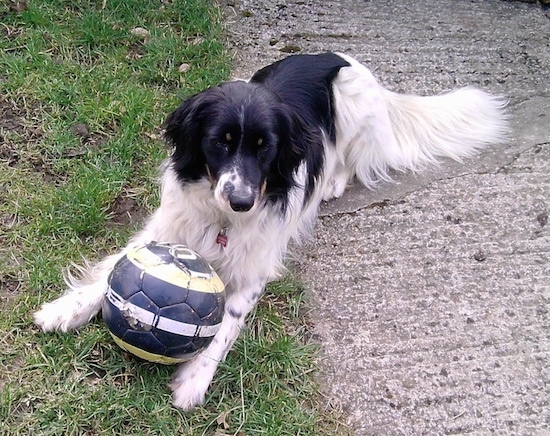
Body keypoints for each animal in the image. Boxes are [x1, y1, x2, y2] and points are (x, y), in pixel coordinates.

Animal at [33, 52, 508, 410]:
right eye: (219, 142)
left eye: (267, 148)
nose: (242, 201)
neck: (223, 220)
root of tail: (341, 57)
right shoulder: (168, 227)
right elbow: (117, 266)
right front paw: (66, 308)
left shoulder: (254, 273)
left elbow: (224, 327)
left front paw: (194, 381)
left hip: (354, 108)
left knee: (349, 160)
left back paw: (332, 183)